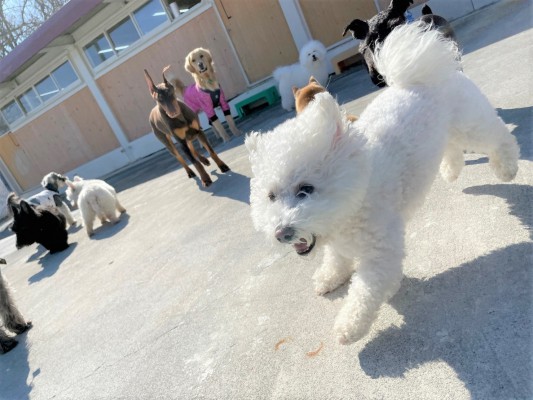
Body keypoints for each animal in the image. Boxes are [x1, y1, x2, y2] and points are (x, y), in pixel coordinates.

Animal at [247, 24, 516, 344]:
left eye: (305, 190)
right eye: (271, 196)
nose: (281, 233)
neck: (358, 191)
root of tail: (421, 72)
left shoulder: (380, 253)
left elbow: (366, 292)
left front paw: (349, 326)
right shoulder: (338, 241)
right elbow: (336, 259)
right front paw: (330, 277)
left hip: (470, 127)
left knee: (498, 136)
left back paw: (507, 167)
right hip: (445, 133)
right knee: (451, 147)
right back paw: (451, 170)